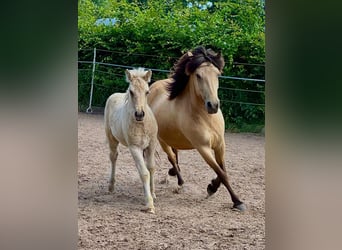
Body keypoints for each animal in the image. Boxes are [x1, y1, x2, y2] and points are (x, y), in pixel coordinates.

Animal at [148, 47, 246, 211]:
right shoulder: (203, 148)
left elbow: (222, 171)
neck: (206, 118)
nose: (213, 105)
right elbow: (222, 173)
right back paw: (180, 183)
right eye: (198, 75)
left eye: (217, 74)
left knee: (175, 155)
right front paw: (237, 201)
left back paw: (174, 174)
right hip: (161, 140)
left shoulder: (220, 145)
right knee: (171, 157)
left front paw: (212, 187)